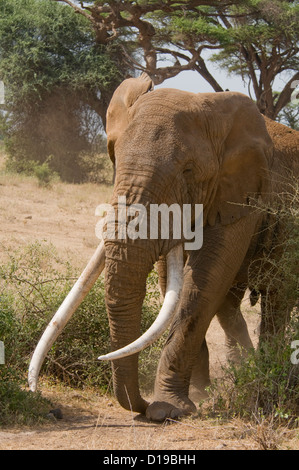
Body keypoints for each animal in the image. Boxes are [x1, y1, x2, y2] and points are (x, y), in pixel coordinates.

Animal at [28, 72, 299, 422]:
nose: (141, 405)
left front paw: (168, 408)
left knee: (277, 300)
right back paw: (243, 375)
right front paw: (197, 397)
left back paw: (265, 382)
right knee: (230, 303)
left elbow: (203, 282)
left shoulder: (241, 195)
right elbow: (173, 278)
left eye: (188, 171)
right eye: (114, 157)